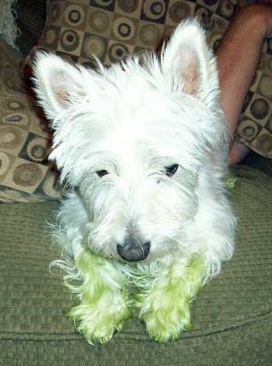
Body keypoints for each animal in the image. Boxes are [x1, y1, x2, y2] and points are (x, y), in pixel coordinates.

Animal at [33, 20, 235, 344]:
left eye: (170, 169)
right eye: (102, 172)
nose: (132, 252)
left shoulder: (214, 229)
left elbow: (184, 264)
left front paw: (164, 313)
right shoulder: (80, 220)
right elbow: (93, 261)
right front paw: (101, 313)